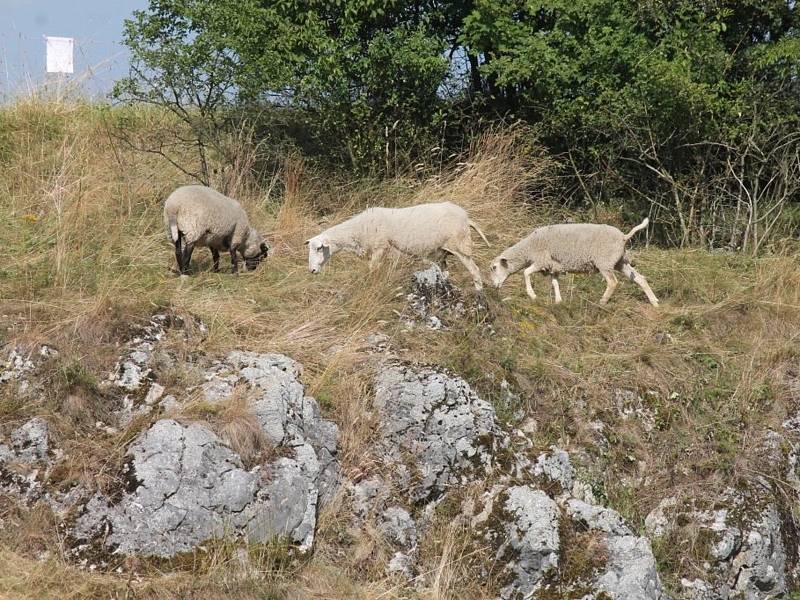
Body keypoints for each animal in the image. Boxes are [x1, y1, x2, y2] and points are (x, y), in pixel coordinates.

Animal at [304, 200, 488, 290]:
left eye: (319, 248)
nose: (312, 270)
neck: (358, 229)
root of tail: (466, 217)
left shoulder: (380, 247)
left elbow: (372, 269)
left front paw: (372, 285)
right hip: (442, 252)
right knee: (445, 273)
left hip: (460, 246)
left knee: (475, 270)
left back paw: (479, 293)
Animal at [490, 218, 660, 308]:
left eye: (494, 268)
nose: (494, 286)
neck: (528, 248)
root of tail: (624, 237)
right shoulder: (554, 266)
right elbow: (555, 283)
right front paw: (558, 301)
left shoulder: (541, 260)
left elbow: (525, 273)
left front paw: (532, 295)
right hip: (620, 262)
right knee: (640, 278)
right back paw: (654, 302)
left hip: (604, 262)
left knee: (613, 282)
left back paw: (601, 302)